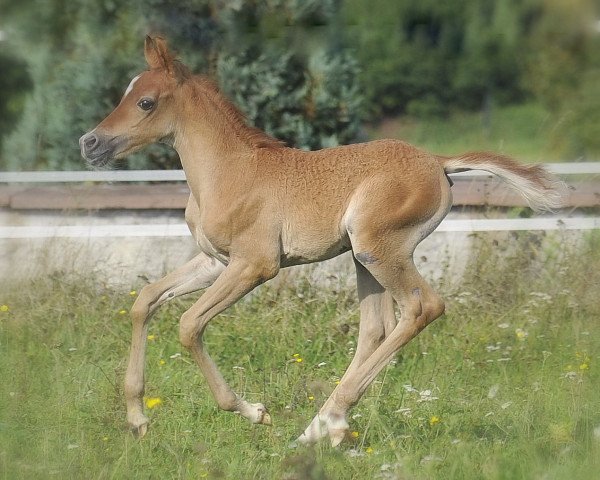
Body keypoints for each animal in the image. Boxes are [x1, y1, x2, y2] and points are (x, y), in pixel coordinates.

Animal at [78, 36, 564, 446]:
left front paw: (254, 412)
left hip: (378, 249)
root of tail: (439, 162)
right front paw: (138, 419)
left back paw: (326, 422)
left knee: (423, 307)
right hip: (364, 258)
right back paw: (324, 426)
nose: (89, 143)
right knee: (376, 327)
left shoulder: (255, 265)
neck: (227, 172)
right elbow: (146, 300)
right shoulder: (216, 261)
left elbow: (188, 324)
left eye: (145, 101)